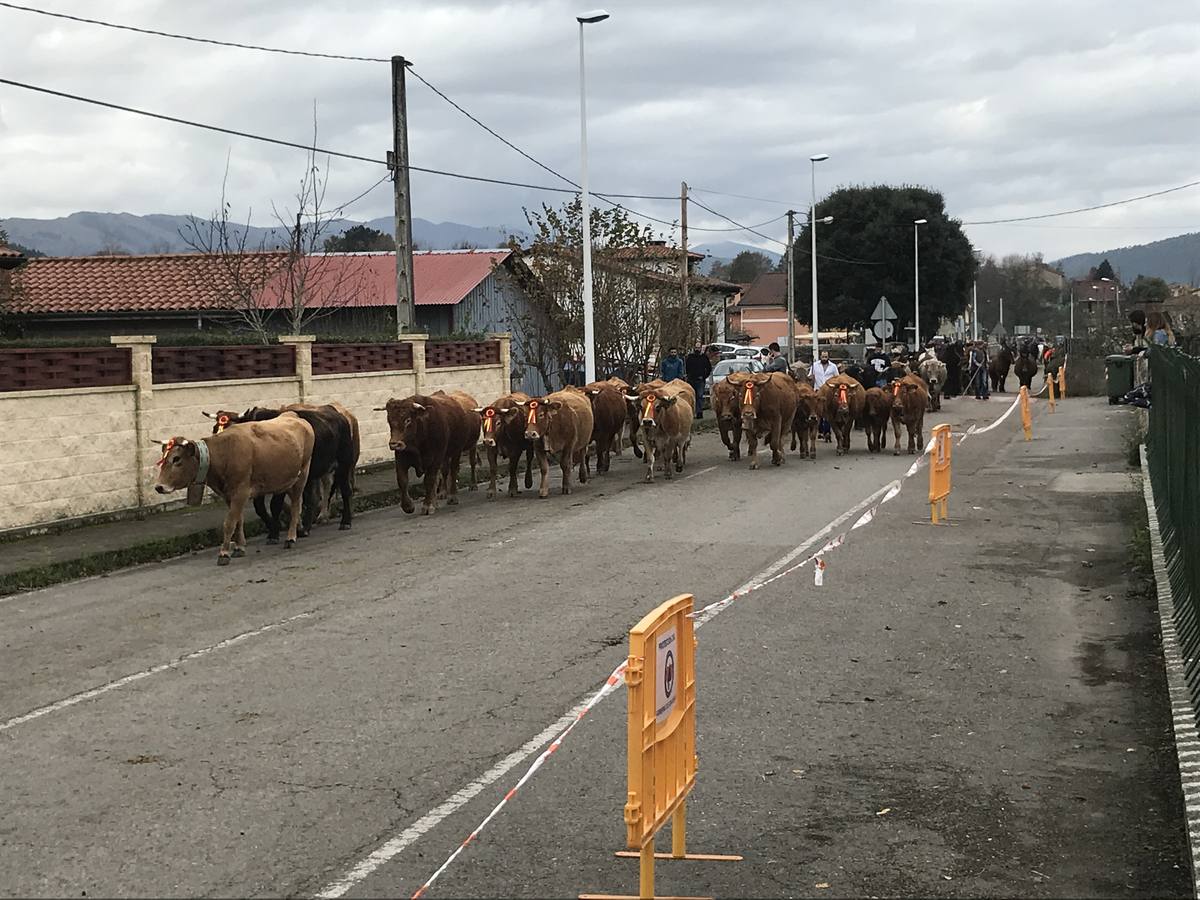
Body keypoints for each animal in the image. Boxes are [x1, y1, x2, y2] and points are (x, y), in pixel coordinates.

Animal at [153, 415, 314, 564]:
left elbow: (229, 522)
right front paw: (239, 547)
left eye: (176, 459)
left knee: (296, 506)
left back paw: (291, 538)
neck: (223, 453)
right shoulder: (229, 495)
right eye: (163, 459)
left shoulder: (240, 492)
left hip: (302, 475)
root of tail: (295, 417)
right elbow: (238, 521)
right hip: (286, 481)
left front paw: (224, 553)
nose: (159, 487)